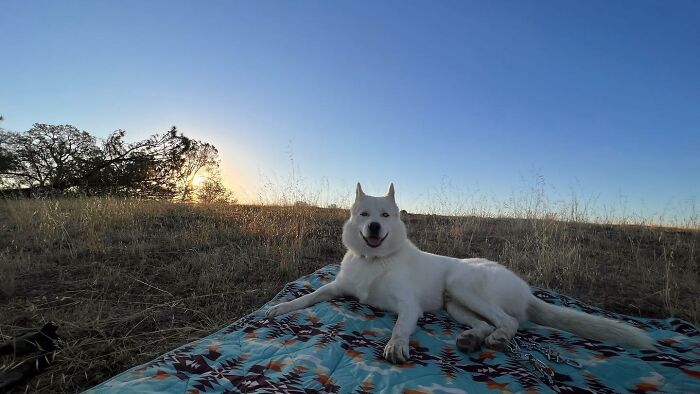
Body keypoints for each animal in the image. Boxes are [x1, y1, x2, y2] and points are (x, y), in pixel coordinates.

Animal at [266, 184, 652, 364]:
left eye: (386, 216)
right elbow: (310, 295)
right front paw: (279, 308)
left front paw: (396, 345)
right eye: (364, 214)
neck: (374, 261)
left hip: (462, 283)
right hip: (455, 305)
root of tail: (526, 291)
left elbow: (401, 326)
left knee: (509, 322)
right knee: (484, 323)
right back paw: (471, 339)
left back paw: (497, 339)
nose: (374, 226)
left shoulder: (409, 307)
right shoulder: (336, 288)